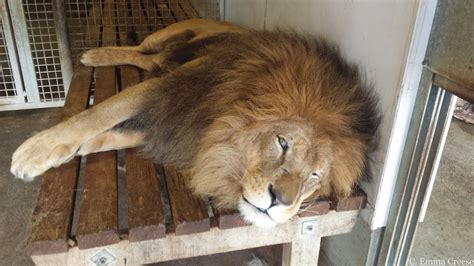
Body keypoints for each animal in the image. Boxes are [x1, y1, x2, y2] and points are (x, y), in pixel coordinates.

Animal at [10, 18, 382, 227]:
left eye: (315, 176)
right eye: (282, 143)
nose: (280, 201)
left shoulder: (170, 123)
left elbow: (111, 133)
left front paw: (74, 149)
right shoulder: (172, 88)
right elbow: (99, 113)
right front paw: (34, 153)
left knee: (144, 60)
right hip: (163, 37)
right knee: (139, 48)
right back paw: (96, 54)